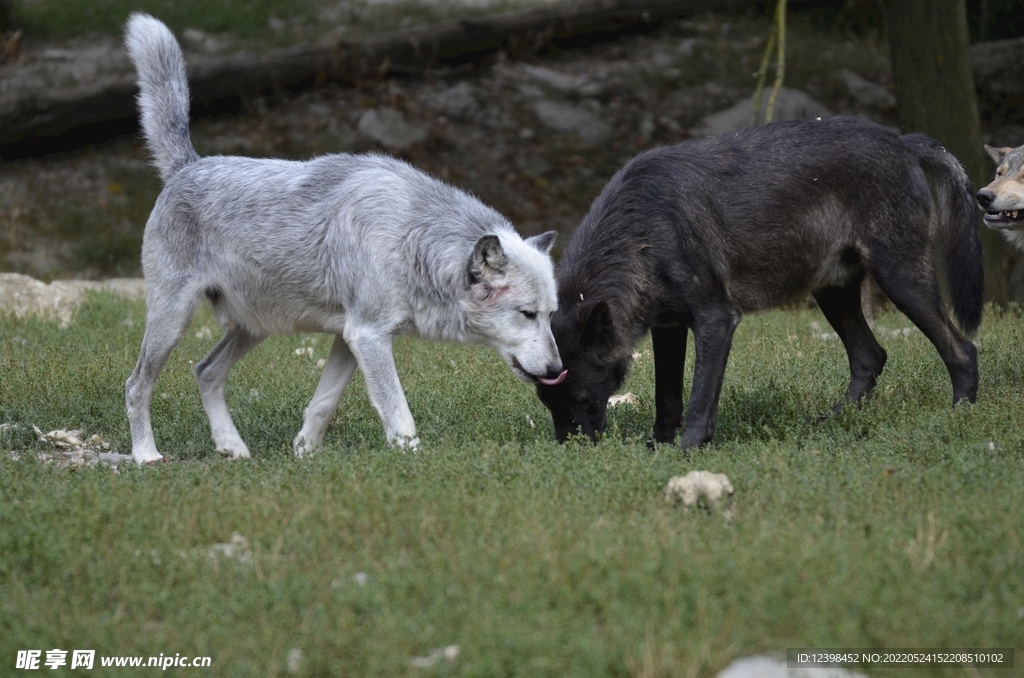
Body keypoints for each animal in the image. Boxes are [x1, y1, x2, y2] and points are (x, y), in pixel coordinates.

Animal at [125, 13, 569, 464]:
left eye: (550, 315)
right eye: (526, 314)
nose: (557, 371)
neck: (410, 237)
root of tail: (187, 166)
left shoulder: (347, 338)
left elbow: (324, 404)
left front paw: (305, 456)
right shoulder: (367, 336)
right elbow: (399, 414)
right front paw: (415, 462)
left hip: (254, 327)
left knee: (205, 371)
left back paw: (233, 448)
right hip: (172, 322)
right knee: (136, 385)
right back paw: (146, 455)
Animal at [540, 115, 978, 446]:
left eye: (581, 398)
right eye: (548, 404)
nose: (570, 452)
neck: (643, 230)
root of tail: (904, 142)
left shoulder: (717, 320)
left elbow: (699, 399)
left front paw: (687, 450)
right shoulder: (668, 327)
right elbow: (667, 399)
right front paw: (658, 447)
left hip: (901, 281)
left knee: (962, 349)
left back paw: (959, 416)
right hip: (832, 293)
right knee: (870, 357)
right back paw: (829, 423)